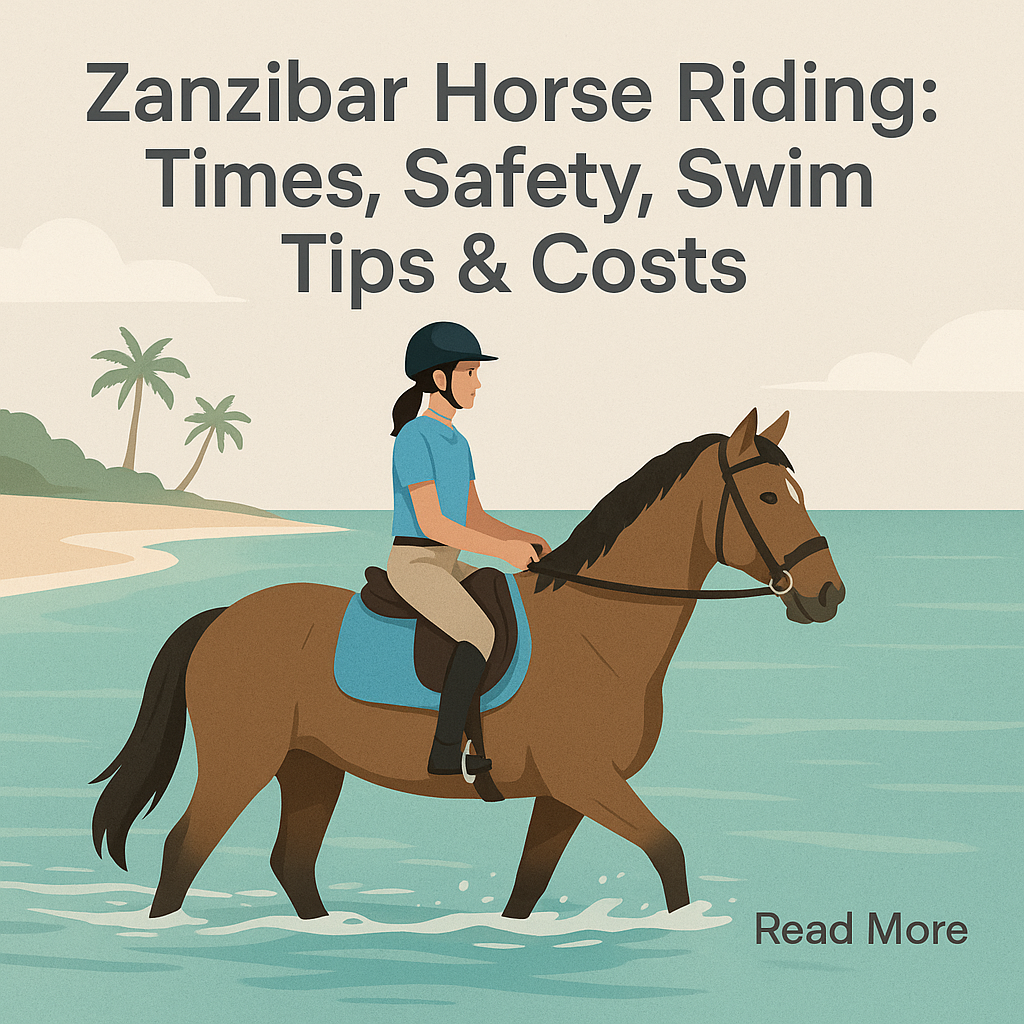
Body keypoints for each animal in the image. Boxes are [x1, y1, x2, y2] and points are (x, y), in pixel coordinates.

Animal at [91, 409, 845, 921]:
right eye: (770, 497)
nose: (828, 594)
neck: (597, 631)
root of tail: (223, 617)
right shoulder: (588, 781)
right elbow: (670, 857)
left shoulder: (563, 794)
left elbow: (528, 888)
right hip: (241, 760)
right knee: (186, 849)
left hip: (310, 765)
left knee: (292, 861)